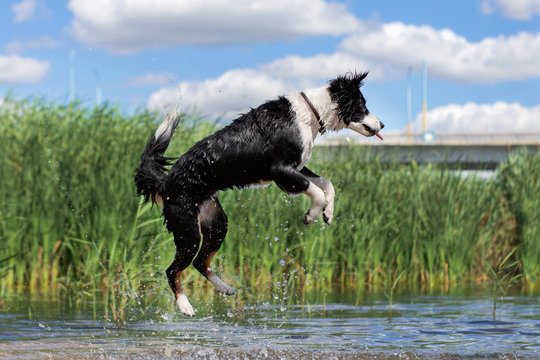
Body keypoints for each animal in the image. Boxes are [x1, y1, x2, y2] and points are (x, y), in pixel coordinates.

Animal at [135, 71, 384, 316]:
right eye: (362, 105)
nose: (382, 124)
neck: (310, 113)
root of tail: (165, 182)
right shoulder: (281, 171)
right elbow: (317, 191)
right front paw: (311, 215)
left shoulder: (296, 169)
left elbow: (327, 184)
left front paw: (328, 214)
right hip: (188, 231)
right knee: (172, 270)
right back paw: (185, 305)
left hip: (217, 224)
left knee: (200, 263)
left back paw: (224, 288)